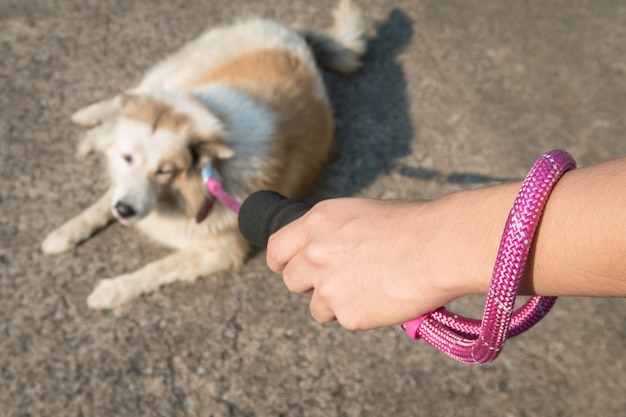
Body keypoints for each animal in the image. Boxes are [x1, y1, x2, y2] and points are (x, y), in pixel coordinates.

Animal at [41, 0, 366, 308]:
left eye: (165, 170)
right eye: (127, 158)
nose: (125, 211)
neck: (202, 178)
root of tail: (293, 35)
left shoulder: (220, 251)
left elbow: (158, 269)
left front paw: (111, 291)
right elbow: (99, 206)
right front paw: (64, 234)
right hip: (180, 74)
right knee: (136, 92)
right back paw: (92, 119)